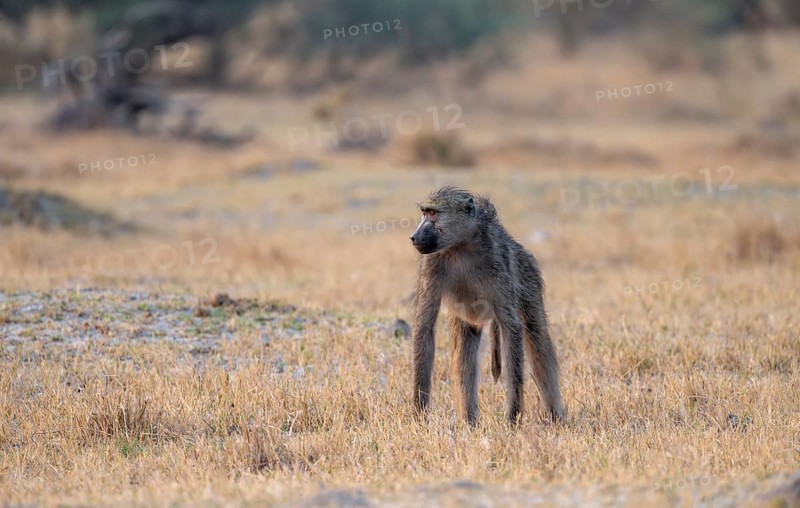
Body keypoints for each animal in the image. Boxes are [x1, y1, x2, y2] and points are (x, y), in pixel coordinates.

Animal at [410, 186, 567, 426]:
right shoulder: (432, 263)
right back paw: (469, 421)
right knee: (465, 346)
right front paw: (419, 415)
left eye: (433, 214)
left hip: (529, 277)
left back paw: (557, 415)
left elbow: (511, 326)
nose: (414, 237)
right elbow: (425, 327)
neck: (461, 245)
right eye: (425, 213)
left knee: (536, 336)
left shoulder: (497, 261)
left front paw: (513, 417)